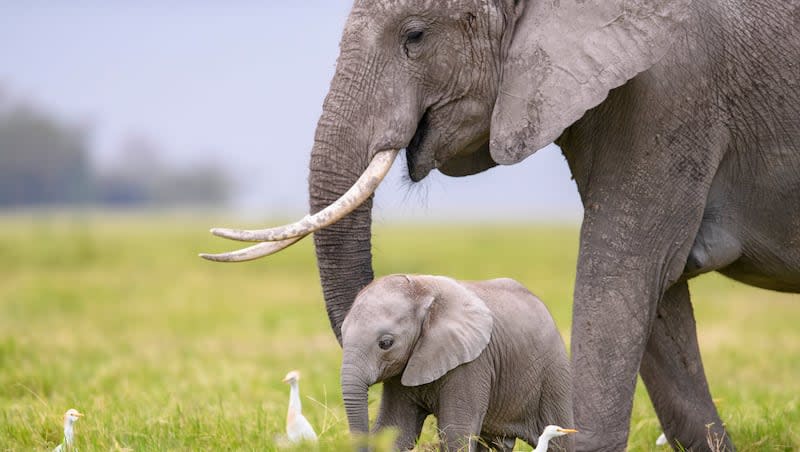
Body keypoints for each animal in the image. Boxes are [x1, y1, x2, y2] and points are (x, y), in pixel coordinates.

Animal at [340, 274, 572, 450]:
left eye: (386, 343)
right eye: (342, 334)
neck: (422, 289)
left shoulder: (472, 363)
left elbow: (455, 431)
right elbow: (396, 428)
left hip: (553, 371)